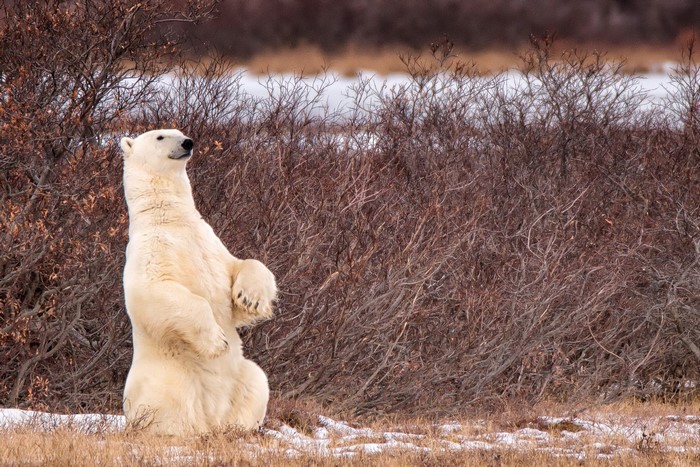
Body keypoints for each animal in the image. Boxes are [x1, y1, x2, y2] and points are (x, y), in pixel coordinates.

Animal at [120, 129, 277, 436]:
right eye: (160, 136)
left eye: (179, 133)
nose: (187, 142)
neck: (171, 219)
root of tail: (212, 417)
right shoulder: (149, 252)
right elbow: (154, 291)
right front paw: (218, 341)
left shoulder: (211, 244)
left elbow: (241, 267)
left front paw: (251, 298)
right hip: (169, 373)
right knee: (170, 399)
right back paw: (178, 431)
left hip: (241, 375)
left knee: (257, 381)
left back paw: (237, 429)